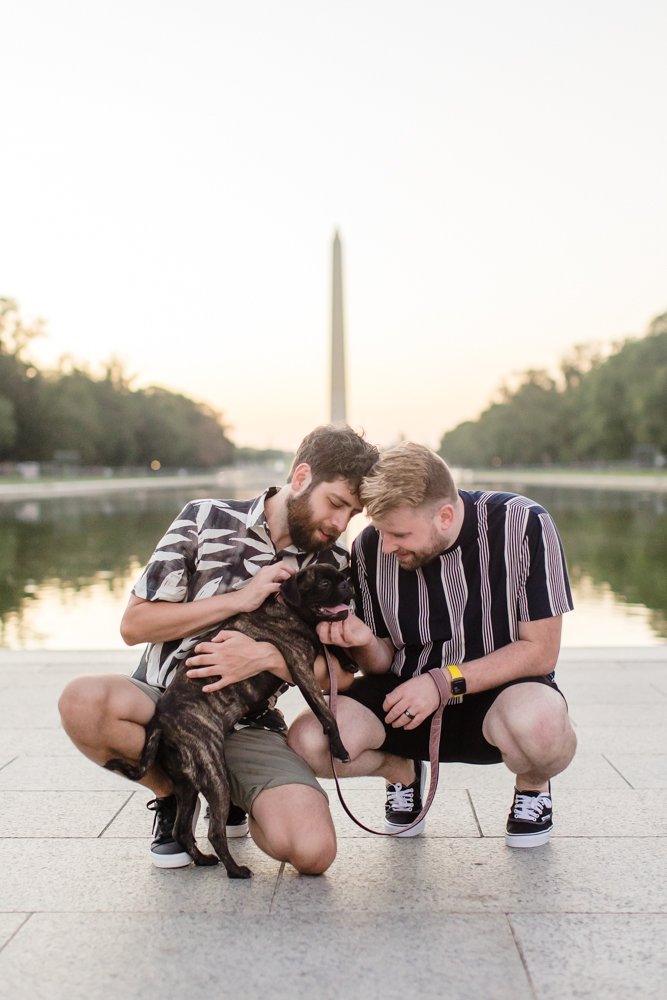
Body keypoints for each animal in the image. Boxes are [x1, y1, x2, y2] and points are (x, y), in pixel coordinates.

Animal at [105, 568, 354, 880]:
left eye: (340, 577)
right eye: (324, 583)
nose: (348, 585)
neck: (288, 609)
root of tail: (162, 723)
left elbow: (327, 641)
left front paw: (348, 659)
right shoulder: (300, 667)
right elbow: (327, 714)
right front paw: (339, 748)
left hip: (186, 785)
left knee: (182, 830)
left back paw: (203, 860)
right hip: (215, 777)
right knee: (214, 831)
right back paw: (235, 871)